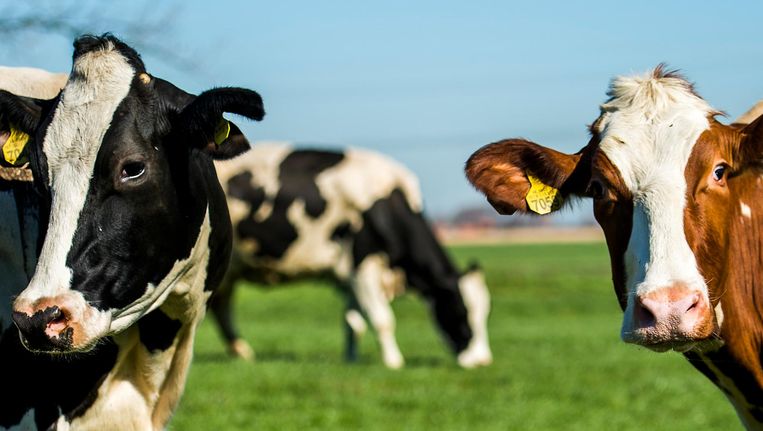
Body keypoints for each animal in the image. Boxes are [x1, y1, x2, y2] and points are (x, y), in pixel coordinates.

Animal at [210, 143, 493, 369]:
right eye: (460, 311)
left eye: (483, 314)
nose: (482, 362)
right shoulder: (363, 265)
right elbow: (382, 319)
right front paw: (393, 362)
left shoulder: (349, 275)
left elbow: (353, 323)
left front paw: (351, 359)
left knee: (220, 306)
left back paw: (241, 351)